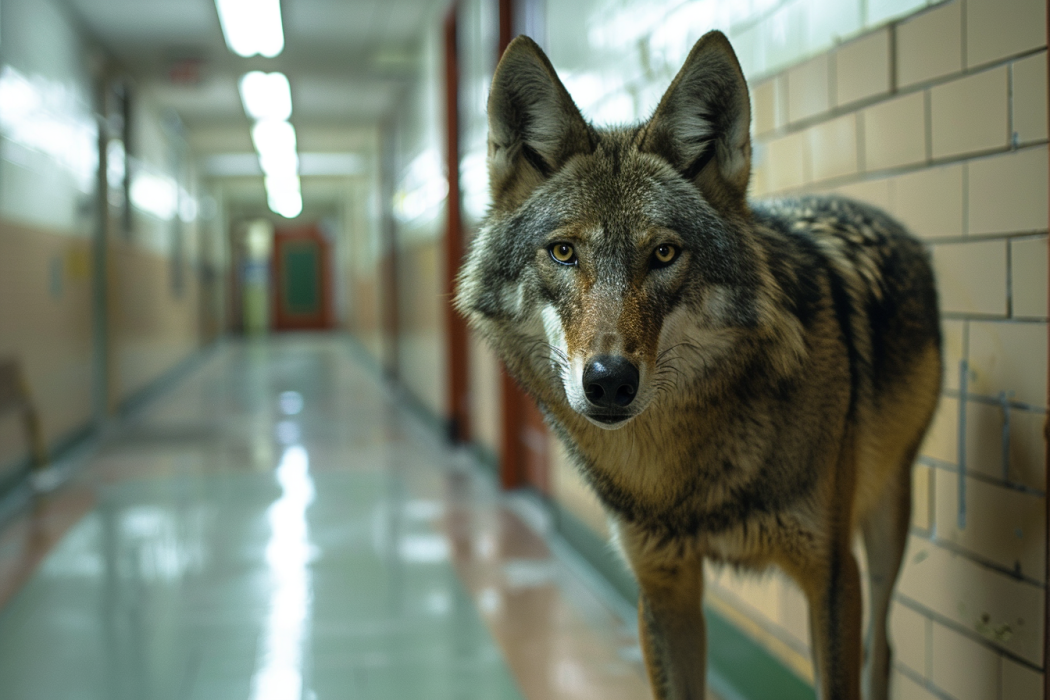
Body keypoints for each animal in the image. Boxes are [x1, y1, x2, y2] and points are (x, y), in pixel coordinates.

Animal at [455, 31, 942, 700]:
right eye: (563, 252)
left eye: (664, 253)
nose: (609, 382)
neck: (679, 473)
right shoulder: (664, 588)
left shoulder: (831, 574)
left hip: (888, 516)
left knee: (884, 649)